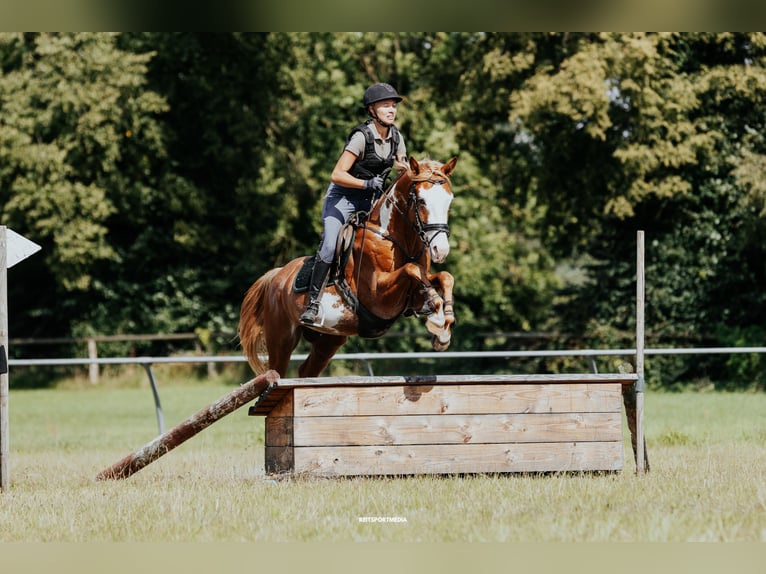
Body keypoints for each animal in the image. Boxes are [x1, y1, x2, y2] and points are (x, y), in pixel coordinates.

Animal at [238, 156, 458, 378]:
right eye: (421, 201)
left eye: (449, 201)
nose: (441, 250)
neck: (397, 238)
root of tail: (277, 275)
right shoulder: (379, 298)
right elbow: (411, 269)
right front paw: (437, 319)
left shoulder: (413, 295)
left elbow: (443, 276)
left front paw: (444, 324)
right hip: (281, 337)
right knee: (276, 369)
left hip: (329, 339)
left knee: (306, 370)